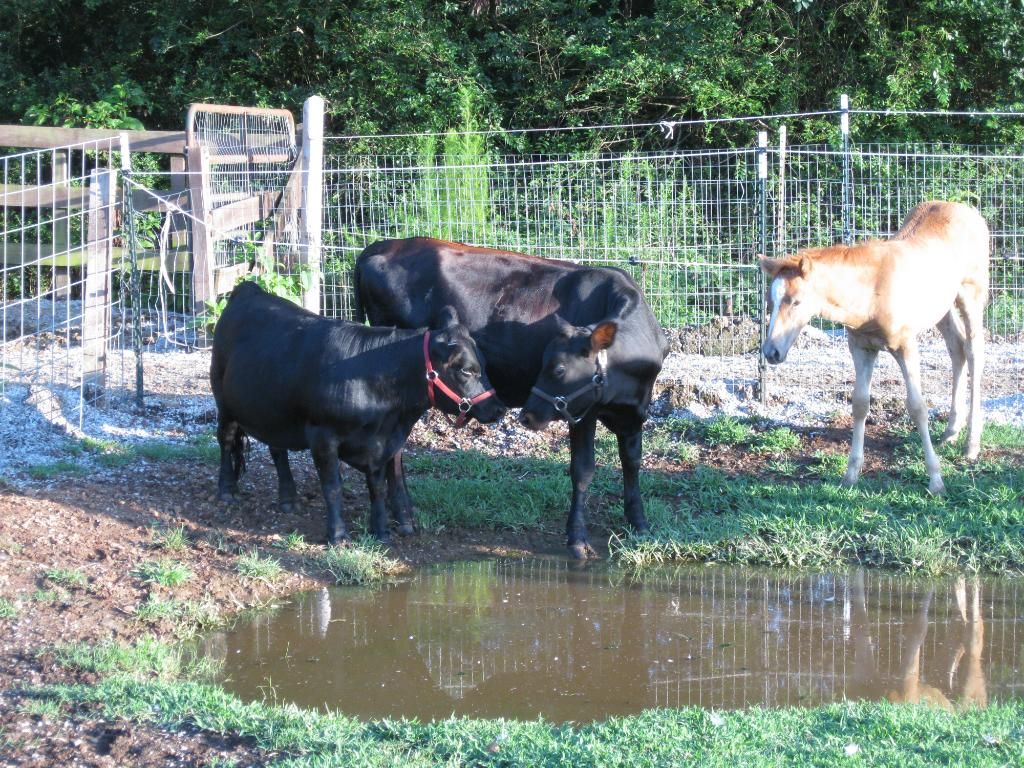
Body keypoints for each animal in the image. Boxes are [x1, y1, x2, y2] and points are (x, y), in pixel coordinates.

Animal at [210, 280, 505, 545]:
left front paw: (382, 531)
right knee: (226, 440)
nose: (498, 408)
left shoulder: (384, 443)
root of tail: (249, 288)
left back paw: (288, 499)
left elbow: (380, 484)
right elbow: (333, 487)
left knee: (277, 450)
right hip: (224, 402)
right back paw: (227, 490)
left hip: (273, 412)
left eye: (484, 364)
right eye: (466, 370)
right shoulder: (322, 436)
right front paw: (338, 535)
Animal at [355, 237, 668, 559]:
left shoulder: (636, 412)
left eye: (558, 369)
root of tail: (379, 246)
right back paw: (403, 516)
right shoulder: (583, 413)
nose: (526, 415)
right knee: (395, 450)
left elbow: (632, 461)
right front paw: (577, 537)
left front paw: (639, 522)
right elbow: (582, 470)